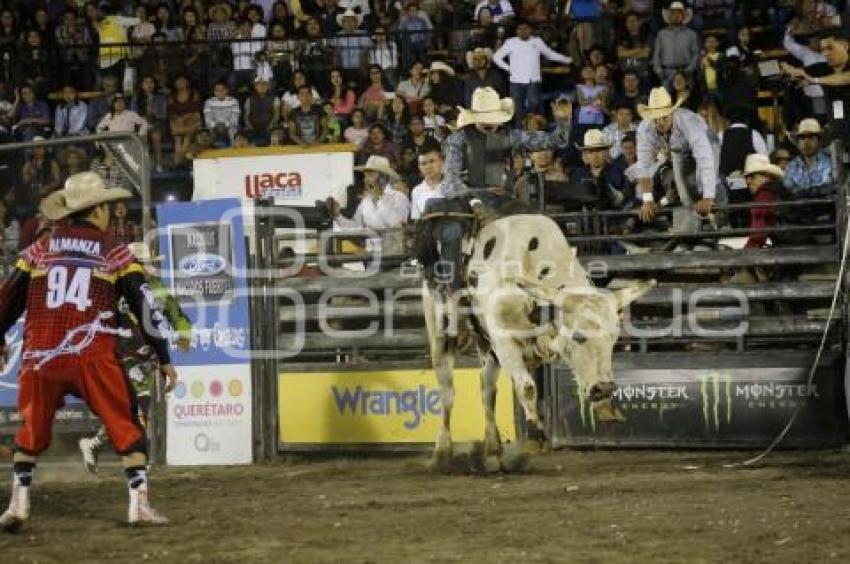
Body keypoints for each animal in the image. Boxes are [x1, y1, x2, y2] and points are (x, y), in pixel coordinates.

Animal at [420, 214, 652, 470]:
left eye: (613, 339)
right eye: (579, 336)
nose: (606, 388)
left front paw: (605, 406)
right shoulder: (504, 342)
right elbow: (528, 387)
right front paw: (537, 433)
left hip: (487, 350)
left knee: (487, 390)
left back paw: (493, 449)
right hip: (441, 335)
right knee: (447, 391)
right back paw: (442, 452)